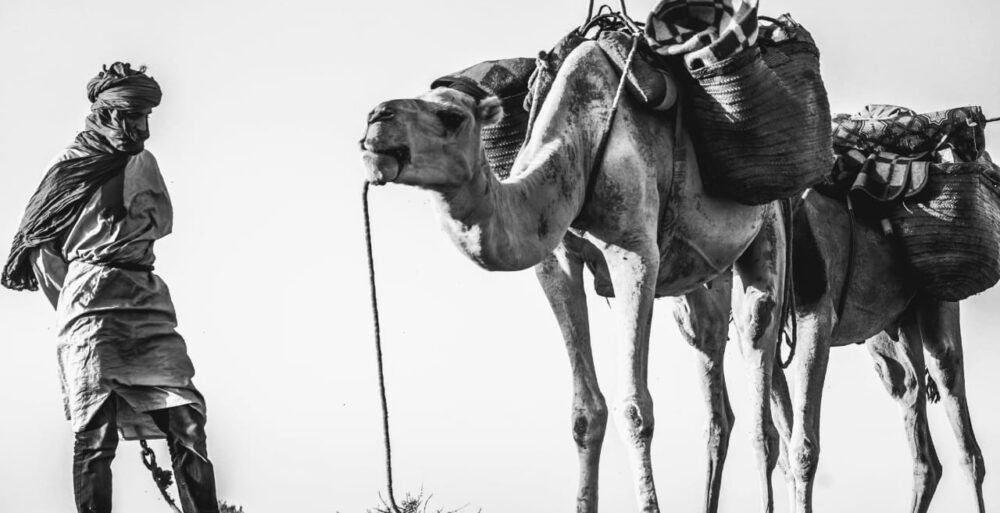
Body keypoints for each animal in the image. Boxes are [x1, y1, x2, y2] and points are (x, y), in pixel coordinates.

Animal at [360, 41, 788, 512]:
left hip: (770, 230)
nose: (377, 116)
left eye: (452, 116)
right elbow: (586, 412)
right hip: (702, 279)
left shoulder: (636, 250)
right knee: (714, 384)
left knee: (761, 380)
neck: (581, 145)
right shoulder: (557, 262)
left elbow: (634, 409)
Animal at [772, 190, 984, 510]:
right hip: (891, 332)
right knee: (915, 414)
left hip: (939, 301)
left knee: (964, 436)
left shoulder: (816, 314)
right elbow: (785, 451)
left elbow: (802, 448)